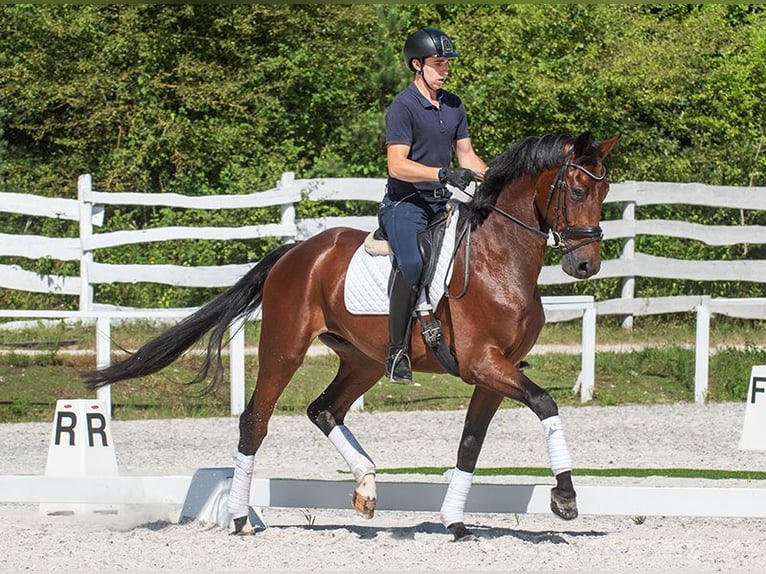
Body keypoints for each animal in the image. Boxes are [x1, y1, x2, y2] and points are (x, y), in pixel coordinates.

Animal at [85, 130, 624, 544]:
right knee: (255, 421)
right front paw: (565, 499)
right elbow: (546, 403)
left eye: (605, 193)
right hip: (284, 349)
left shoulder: (495, 372)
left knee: (324, 410)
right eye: (576, 190)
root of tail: (296, 251)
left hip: (363, 359)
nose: (585, 266)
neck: (499, 259)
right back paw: (240, 519)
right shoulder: (484, 363)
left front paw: (455, 523)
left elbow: (470, 445)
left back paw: (366, 489)